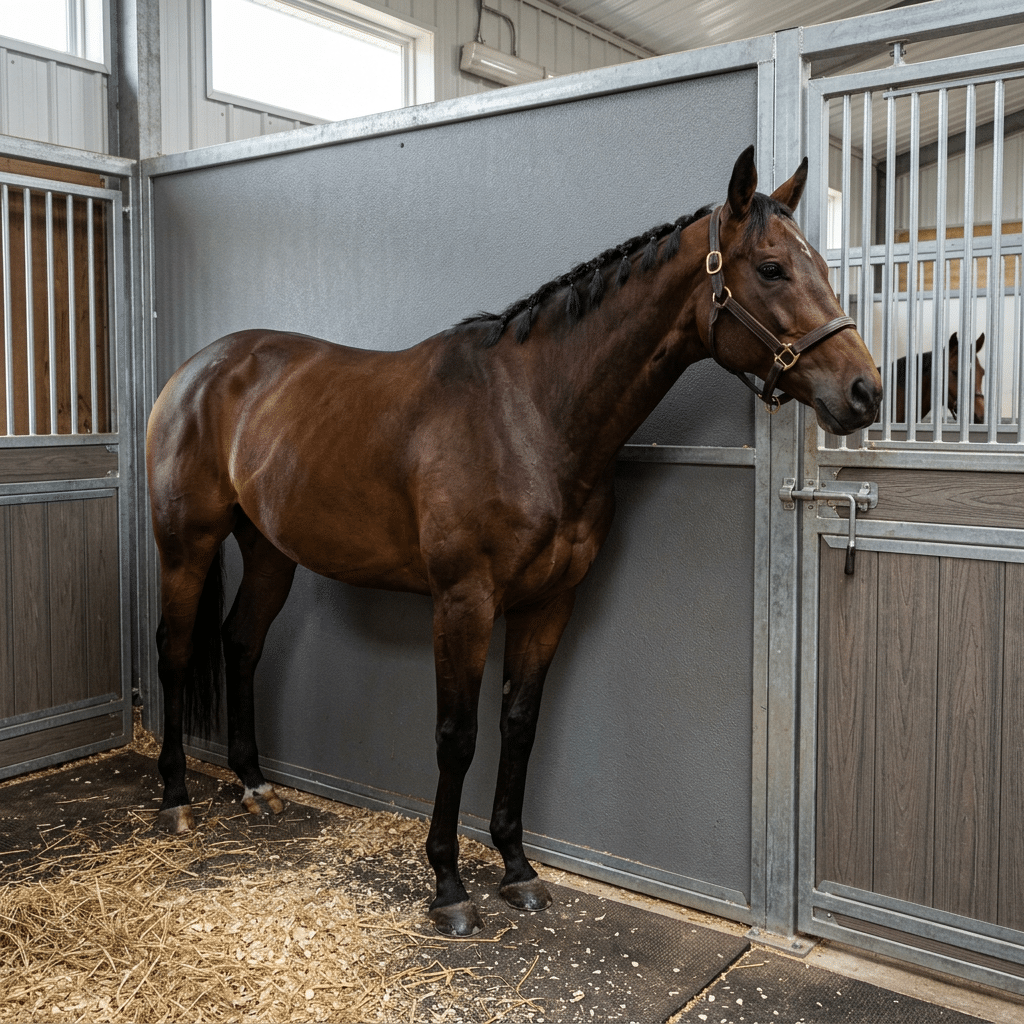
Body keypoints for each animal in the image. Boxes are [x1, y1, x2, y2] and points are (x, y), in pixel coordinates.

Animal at [146, 147, 882, 937]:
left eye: (823, 267)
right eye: (772, 268)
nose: (866, 390)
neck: (530, 415)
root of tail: (197, 369)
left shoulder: (549, 602)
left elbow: (520, 725)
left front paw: (517, 868)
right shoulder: (463, 602)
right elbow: (457, 734)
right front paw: (447, 884)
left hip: (269, 550)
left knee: (241, 643)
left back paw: (254, 784)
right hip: (185, 544)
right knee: (176, 649)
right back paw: (175, 799)